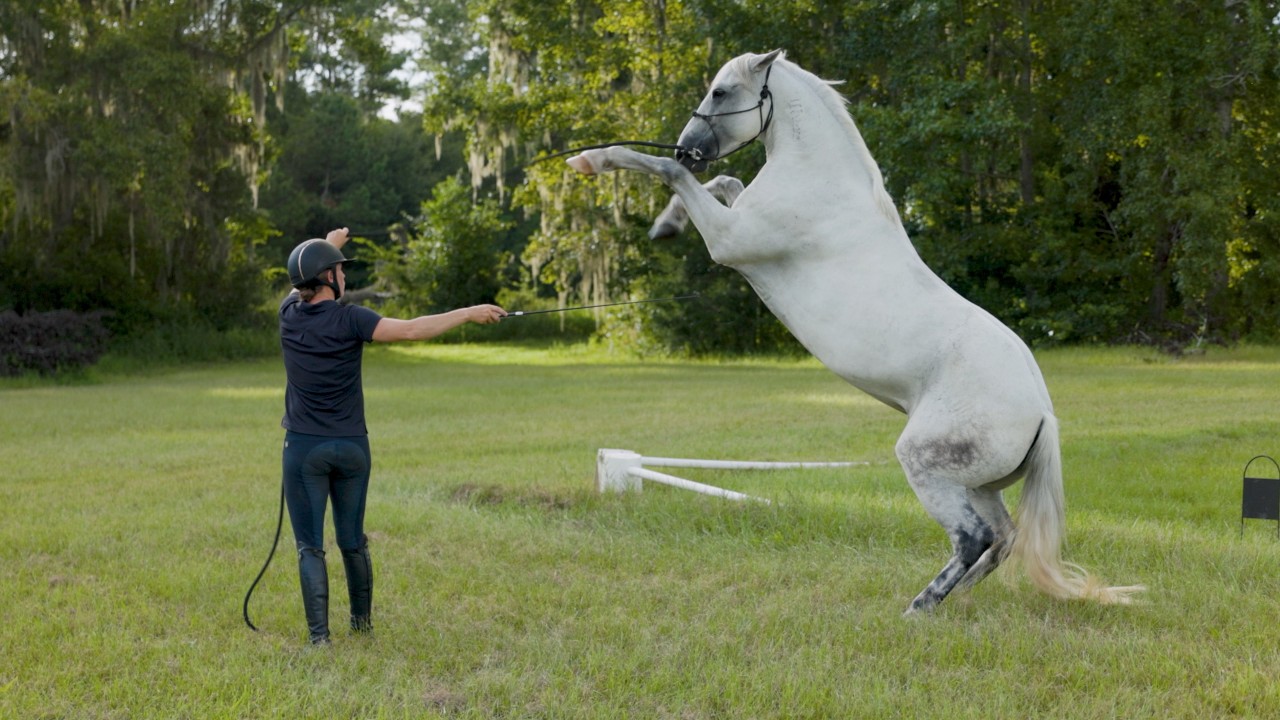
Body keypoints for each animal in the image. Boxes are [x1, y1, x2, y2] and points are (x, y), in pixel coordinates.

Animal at [567, 50, 1143, 614]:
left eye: (721, 91)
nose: (690, 148)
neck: (819, 181)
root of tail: (1042, 413)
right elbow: (719, 184)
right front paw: (665, 224)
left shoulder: (729, 240)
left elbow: (668, 172)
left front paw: (595, 162)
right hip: (976, 484)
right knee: (1002, 538)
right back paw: (955, 597)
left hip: (928, 467)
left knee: (974, 537)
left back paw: (920, 606)